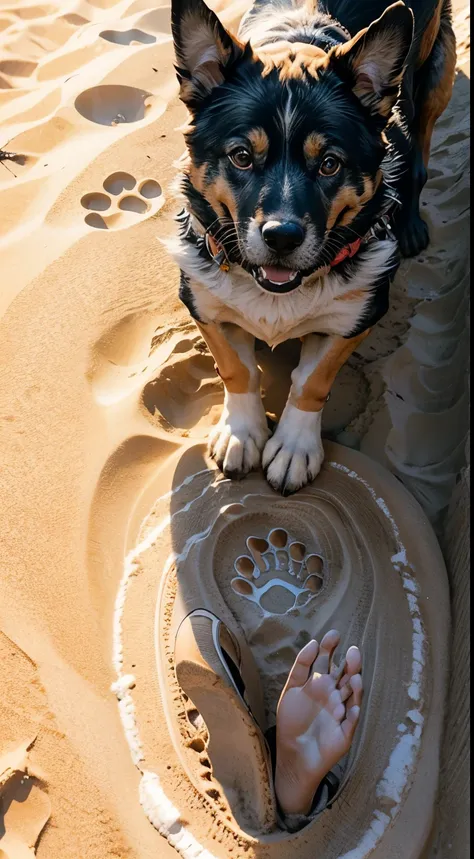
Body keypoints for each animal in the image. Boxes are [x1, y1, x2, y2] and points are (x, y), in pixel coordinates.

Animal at [169, 0, 456, 490]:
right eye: (241, 156)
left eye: (329, 164)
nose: (281, 237)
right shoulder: (202, 302)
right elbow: (236, 369)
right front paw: (241, 434)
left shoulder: (356, 317)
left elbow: (312, 381)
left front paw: (294, 448)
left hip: (441, 70)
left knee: (419, 148)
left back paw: (412, 224)